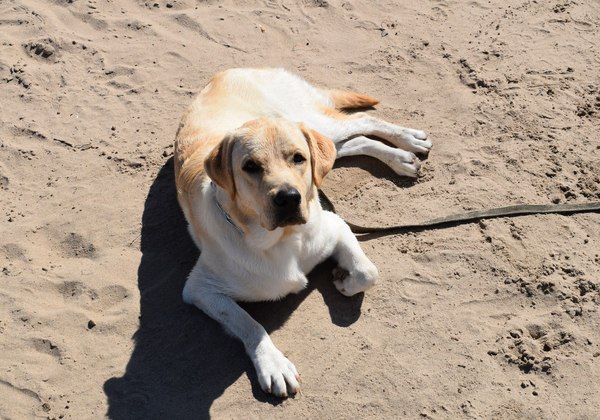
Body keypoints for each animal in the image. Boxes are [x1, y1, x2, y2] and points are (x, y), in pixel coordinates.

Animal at [174, 68, 431, 397]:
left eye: (297, 158)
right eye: (250, 166)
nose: (288, 198)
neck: (283, 240)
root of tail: (231, 70)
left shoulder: (335, 225)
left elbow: (368, 272)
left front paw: (344, 280)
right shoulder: (200, 289)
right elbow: (248, 323)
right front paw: (273, 365)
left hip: (312, 121)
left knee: (362, 121)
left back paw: (408, 142)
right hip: (320, 137)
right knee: (350, 141)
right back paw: (400, 158)